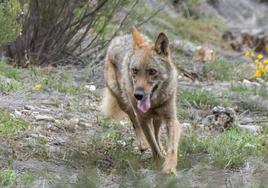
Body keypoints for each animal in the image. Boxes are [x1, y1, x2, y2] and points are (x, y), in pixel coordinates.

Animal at [102, 26, 182, 173]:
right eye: (135, 70)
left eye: (152, 71)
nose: (138, 95)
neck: (155, 102)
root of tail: (120, 37)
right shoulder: (144, 119)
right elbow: (153, 145)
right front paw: (158, 162)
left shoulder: (171, 119)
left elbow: (171, 148)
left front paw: (168, 168)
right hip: (124, 103)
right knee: (135, 122)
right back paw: (143, 144)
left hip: (158, 119)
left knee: (157, 134)